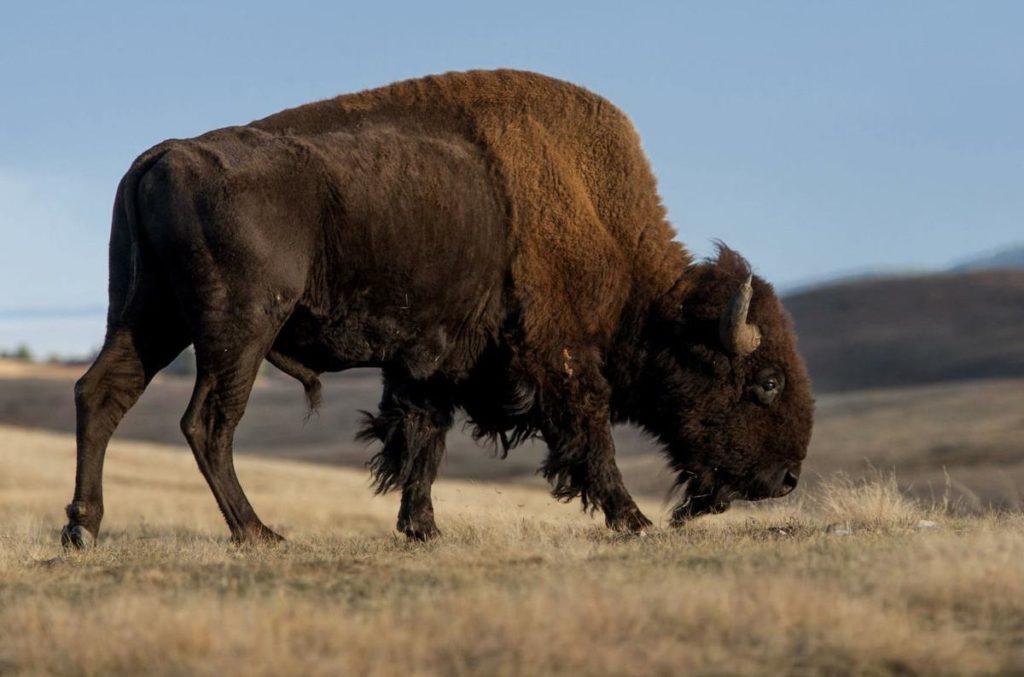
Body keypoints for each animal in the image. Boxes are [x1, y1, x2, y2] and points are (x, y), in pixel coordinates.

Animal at [62, 69, 813, 546]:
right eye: (766, 382)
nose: (784, 479)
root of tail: (165, 155)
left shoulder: (430, 364)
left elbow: (423, 439)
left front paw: (421, 527)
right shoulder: (562, 359)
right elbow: (589, 439)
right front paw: (634, 520)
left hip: (146, 316)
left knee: (102, 393)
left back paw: (82, 527)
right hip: (238, 329)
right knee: (208, 422)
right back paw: (259, 532)